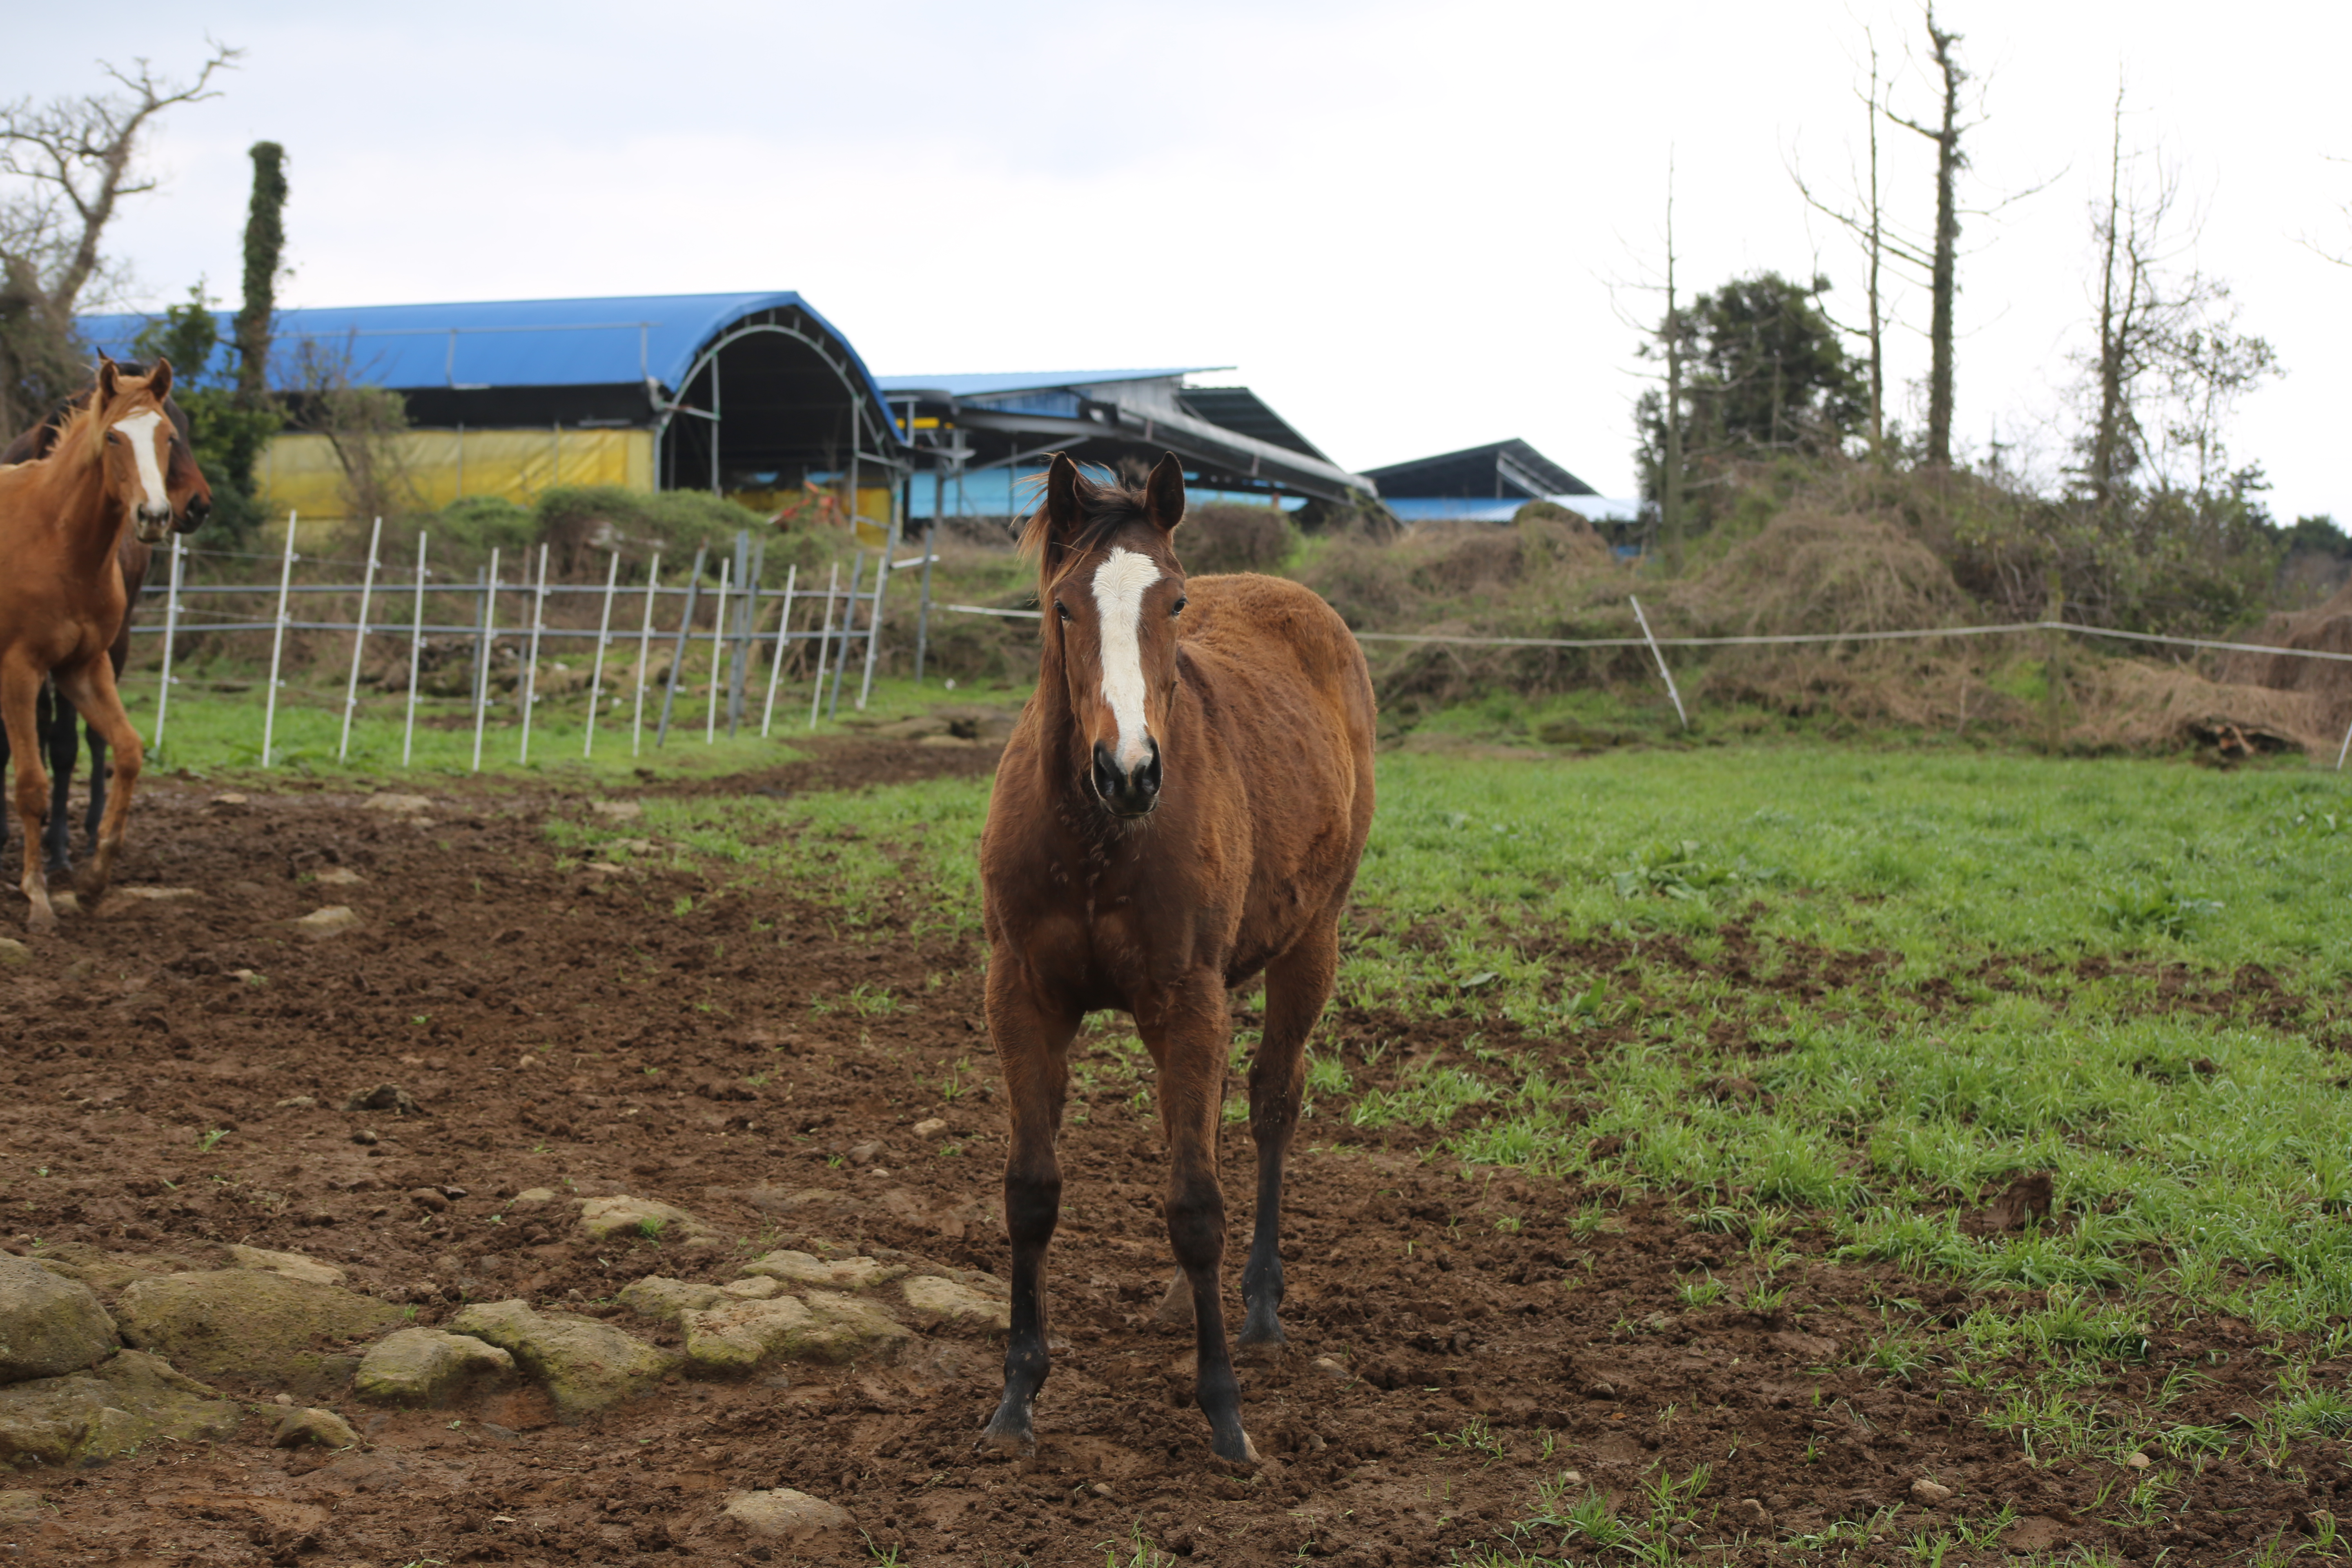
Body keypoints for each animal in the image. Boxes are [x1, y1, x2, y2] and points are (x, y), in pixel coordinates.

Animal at [0, 364, 209, 931]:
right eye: (114, 437)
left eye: (169, 436)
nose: (156, 514)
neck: (56, 537)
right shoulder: (20, 672)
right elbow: (31, 782)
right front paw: (37, 894)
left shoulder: (84, 667)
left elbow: (128, 751)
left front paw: (95, 876)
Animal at [973, 456, 1373, 1476]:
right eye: (1063, 605)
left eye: (1176, 601)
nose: (1130, 770)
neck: (1097, 837)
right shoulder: (1021, 998)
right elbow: (1032, 1194)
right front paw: (1016, 1398)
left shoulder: (1187, 1004)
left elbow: (1196, 1206)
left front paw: (1225, 1413)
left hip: (1313, 942)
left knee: (1272, 1105)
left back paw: (1260, 1306)